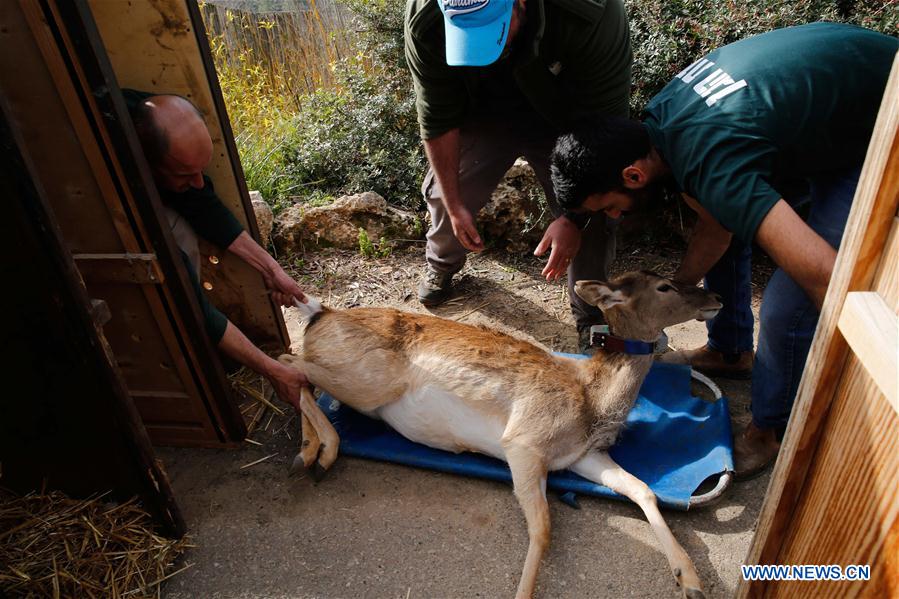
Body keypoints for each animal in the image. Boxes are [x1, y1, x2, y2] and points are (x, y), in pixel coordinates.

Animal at [282, 274, 724, 599]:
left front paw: (691, 581)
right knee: (292, 361)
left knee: (296, 367)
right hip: (369, 381)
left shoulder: (584, 455)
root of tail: (321, 312)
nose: (715, 295)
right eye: (664, 285)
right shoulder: (524, 442)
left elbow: (643, 489)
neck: (593, 403)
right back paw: (321, 453)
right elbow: (543, 529)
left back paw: (308, 450)